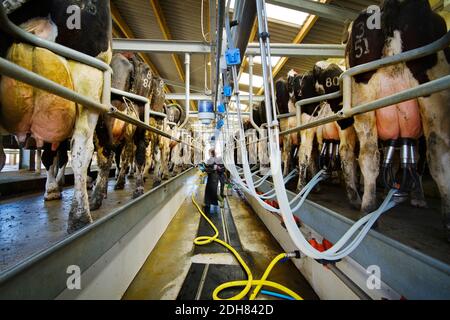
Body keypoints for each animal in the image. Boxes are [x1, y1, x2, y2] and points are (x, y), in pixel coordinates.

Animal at [346, 0, 448, 238]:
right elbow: (417, 161)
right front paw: (417, 197)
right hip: (432, 95)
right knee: (438, 154)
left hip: (364, 100)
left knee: (368, 156)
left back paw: (368, 209)